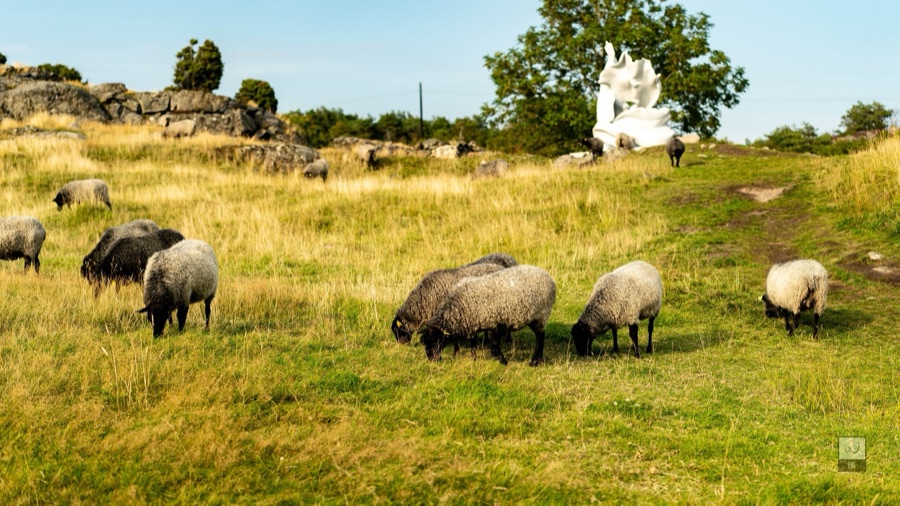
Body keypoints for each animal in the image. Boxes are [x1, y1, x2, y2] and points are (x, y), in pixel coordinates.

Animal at [420, 265, 557, 366]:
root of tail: (549, 278)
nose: (432, 359)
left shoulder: (493, 322)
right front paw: (475, 358)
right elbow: (473, 343)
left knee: (540, 337)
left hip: (540, 315)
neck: (457, 306)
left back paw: (535, 361)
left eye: (435, 340)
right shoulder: (472, 323)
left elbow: (494, 342)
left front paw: (502, 360)